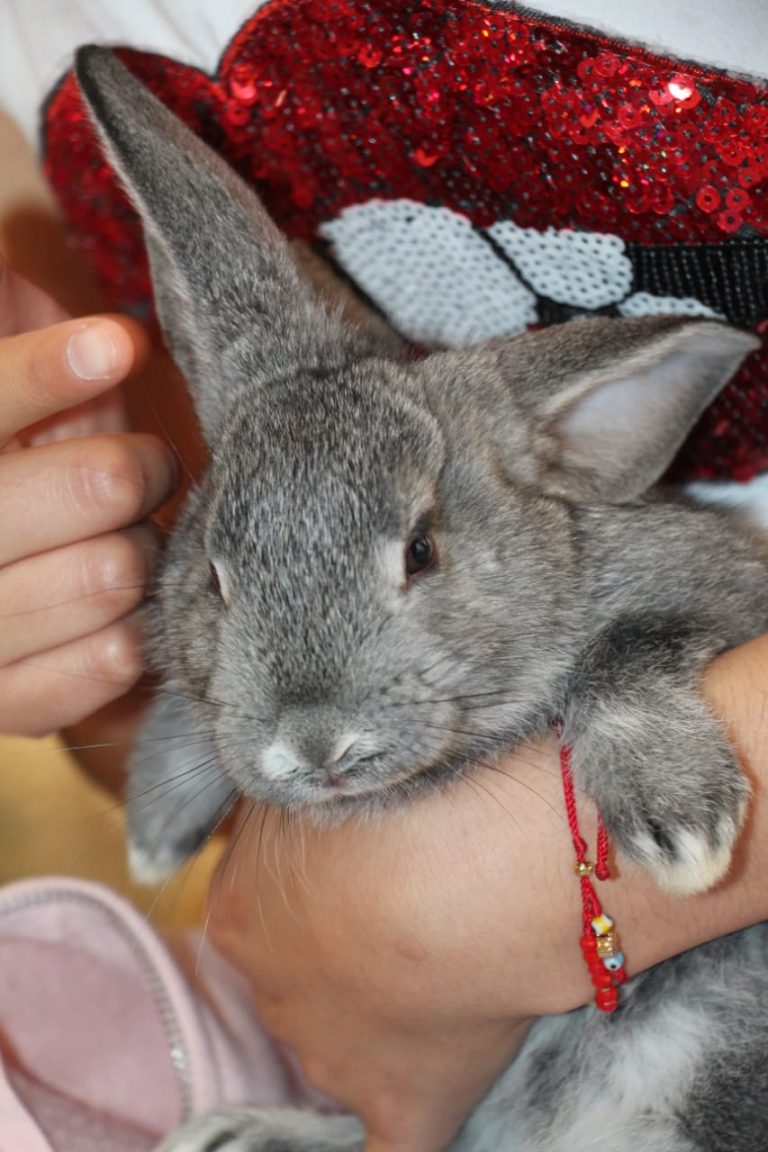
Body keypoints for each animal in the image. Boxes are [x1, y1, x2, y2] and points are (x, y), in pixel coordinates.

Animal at [76, 44, 768, 1152]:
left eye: (422, 550)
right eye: (216, 576)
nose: (315, 746)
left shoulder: (717, 589)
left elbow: (621, 658)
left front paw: (681, 829)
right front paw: (154, 829)